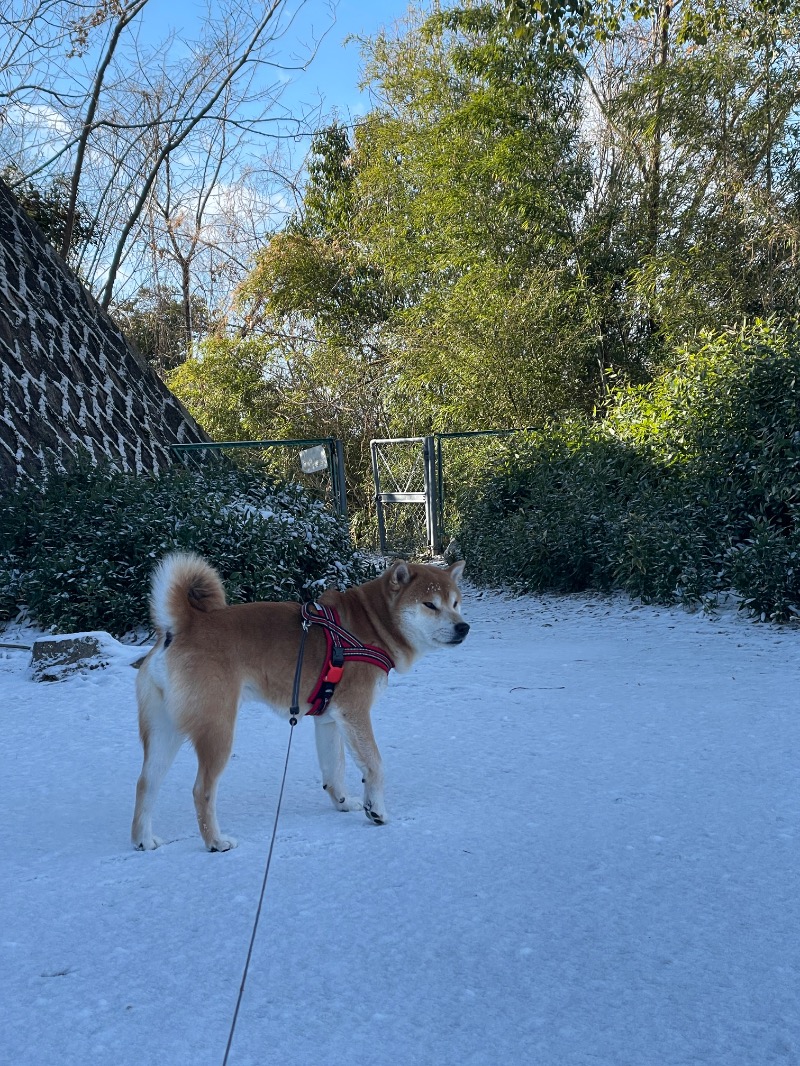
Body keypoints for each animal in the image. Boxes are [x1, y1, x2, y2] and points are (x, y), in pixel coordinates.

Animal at [131, 554, 469, 852]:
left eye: (455, 603)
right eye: (430, 605)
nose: (463, 627)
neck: (371, 625)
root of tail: (183, 625)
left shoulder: (330, 719)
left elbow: (334, 769)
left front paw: (342, 802)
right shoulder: (355, 712)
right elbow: (374, 765)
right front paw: (376, 810)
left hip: (164, 734)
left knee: (145, 783)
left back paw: (143, 840)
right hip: (217, 730)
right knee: (201, 790)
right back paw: (215, 841)